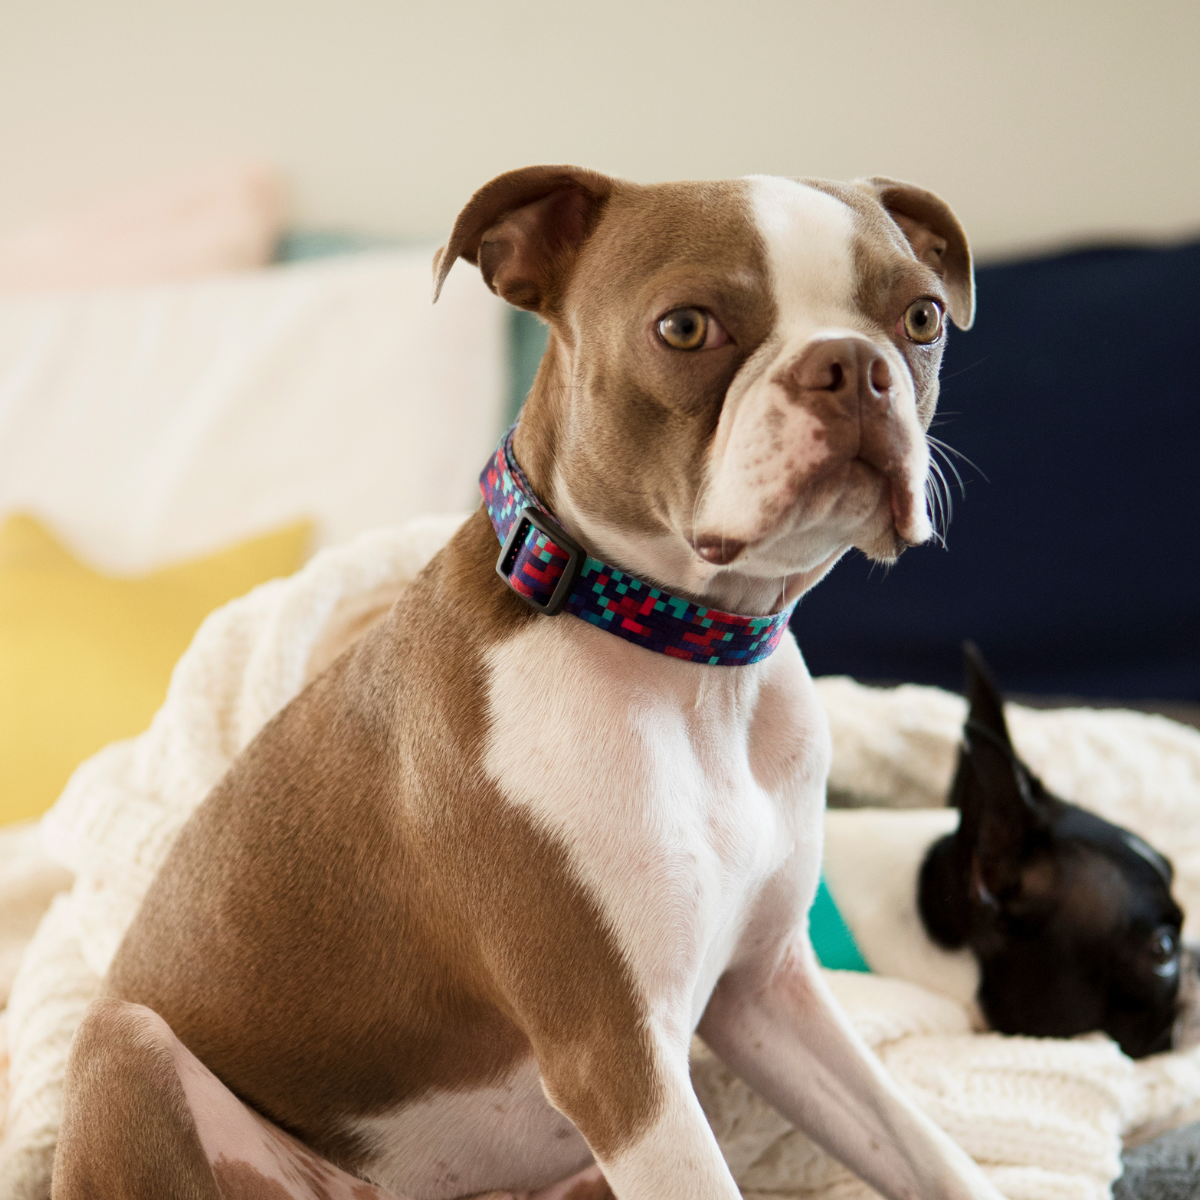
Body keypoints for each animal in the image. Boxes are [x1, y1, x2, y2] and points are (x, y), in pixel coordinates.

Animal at [51, 169, 998, 1200]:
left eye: (921, 318)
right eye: (685, 328)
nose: (854, 366)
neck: (687, 663)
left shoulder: (768, 993)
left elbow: (931, 1151)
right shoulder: (620, 1062)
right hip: (125, 1044)